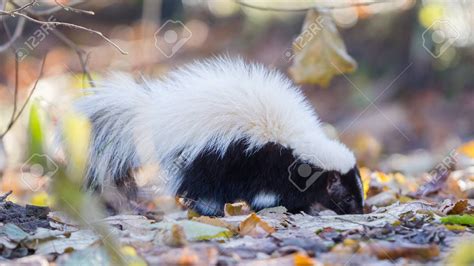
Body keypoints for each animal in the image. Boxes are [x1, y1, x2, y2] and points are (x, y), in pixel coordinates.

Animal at [75, 57, 362, 215]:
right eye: (347, 197)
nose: (359, 211)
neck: (301, 146)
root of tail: (158, 117)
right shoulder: (269, 162)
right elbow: (271, 192)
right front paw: (276, 205)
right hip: (204, 158)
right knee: (202, 189)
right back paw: (210, 210)